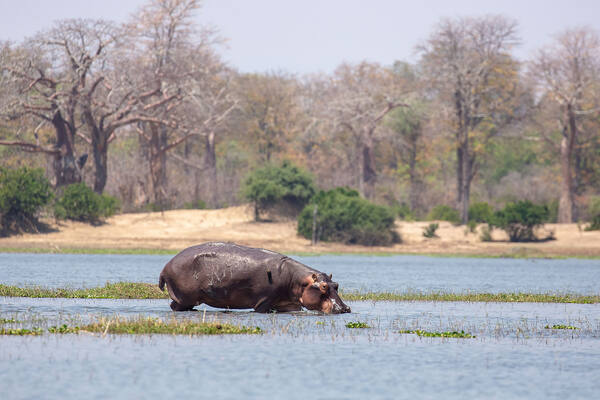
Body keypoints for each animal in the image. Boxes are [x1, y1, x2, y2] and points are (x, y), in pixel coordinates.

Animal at [158, 242, 351, 314]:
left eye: (336, 284)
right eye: (323, 287)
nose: (344, 308)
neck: (298, 280)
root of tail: (166, 266)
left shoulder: (289, 304)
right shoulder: (264, 301)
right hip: (185, 297)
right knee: (176, 306)